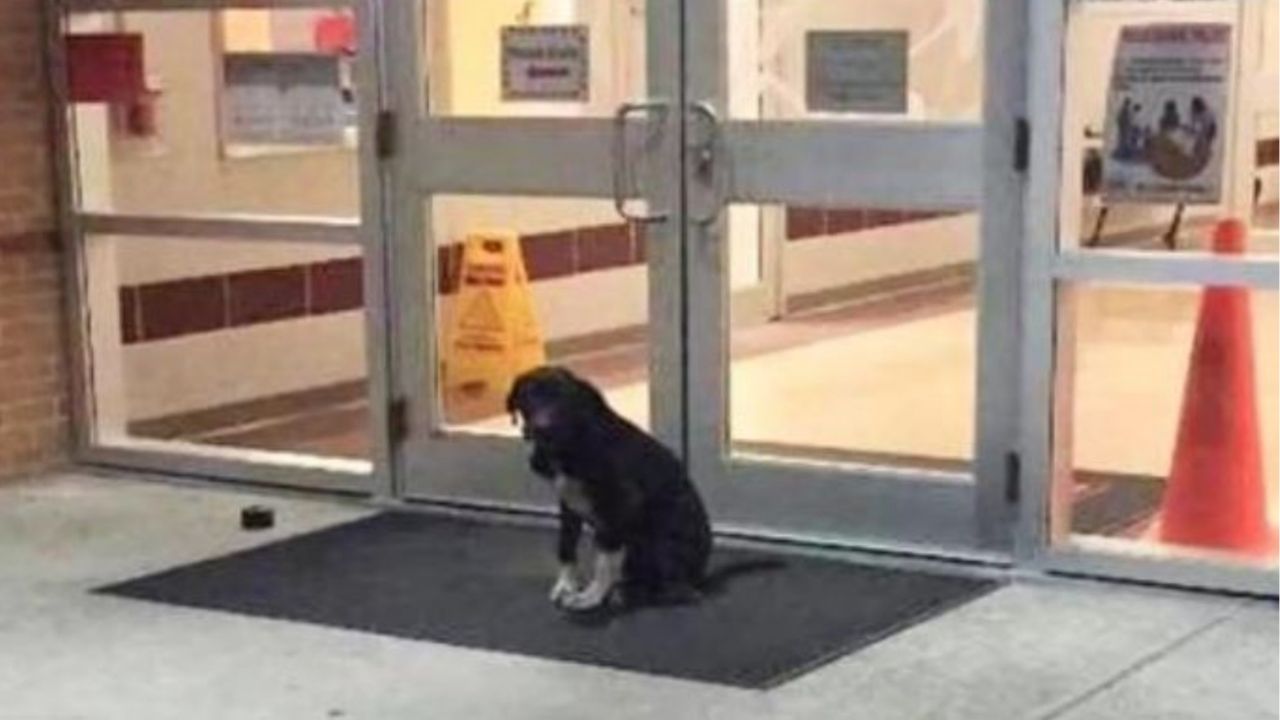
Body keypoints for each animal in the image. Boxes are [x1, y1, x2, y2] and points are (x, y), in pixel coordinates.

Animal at [506, 366, 711, 607]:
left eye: (565, 398)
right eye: (529, 396)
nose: (541, 428)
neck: (569, 444)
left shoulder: (621, 505)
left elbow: (603, 559)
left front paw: (592, 596)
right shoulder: (568, 505)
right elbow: (565, 546)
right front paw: (566, 584)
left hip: (659, 540)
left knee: (678, 590)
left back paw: (631, 593)